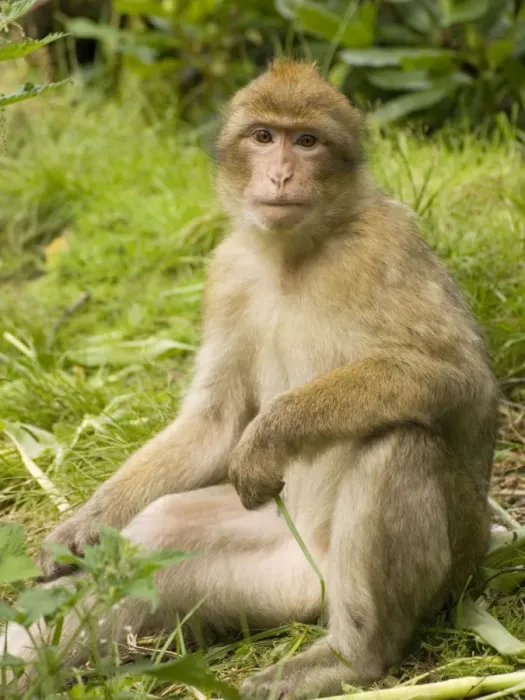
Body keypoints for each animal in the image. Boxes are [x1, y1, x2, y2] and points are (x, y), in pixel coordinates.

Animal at [1, 58, 499, 699]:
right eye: (264, 137)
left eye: (306, 141)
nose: (281, 174)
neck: (295, 253)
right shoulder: (228, 272)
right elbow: (214, 422)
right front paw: (83, 526)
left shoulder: (387, 245)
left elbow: (458, 376)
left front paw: (269, 435)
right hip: (267, 578)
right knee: (159, 533)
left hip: (418, 573)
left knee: (399, 441)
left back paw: (350, 657)